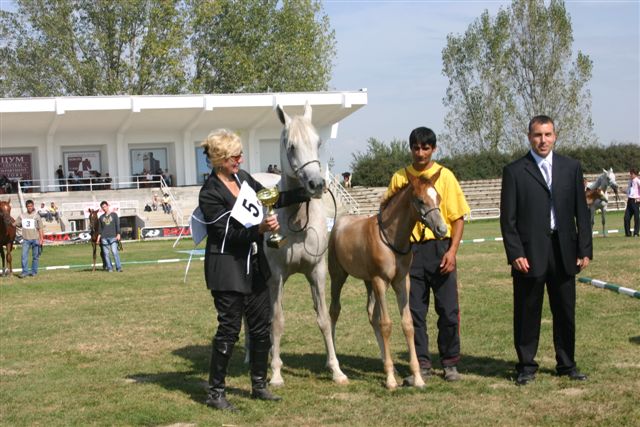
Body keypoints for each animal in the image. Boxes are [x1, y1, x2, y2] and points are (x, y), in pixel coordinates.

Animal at [264, 102, 348, 386]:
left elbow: (324, 319)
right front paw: (276, 373)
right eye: (291, 146)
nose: (317, 184)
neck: (297, 221)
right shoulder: (276, 276)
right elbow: (277, 321)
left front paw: (336, 369)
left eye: (318, 142)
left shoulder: (317, 272)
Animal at [328, 170, 448, 389]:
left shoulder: (402, 282)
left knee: (371, 315)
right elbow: (386, 324)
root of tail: (339, 222)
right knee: (334, 311)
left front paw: (417, 377)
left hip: (367, 282)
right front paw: (391, 380)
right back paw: (334, 365)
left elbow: (407, 324)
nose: (441, 229)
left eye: (438, 198)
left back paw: (385, 361)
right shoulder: (380, 281)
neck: (392, 239)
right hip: (338, 276)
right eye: (420, 200)